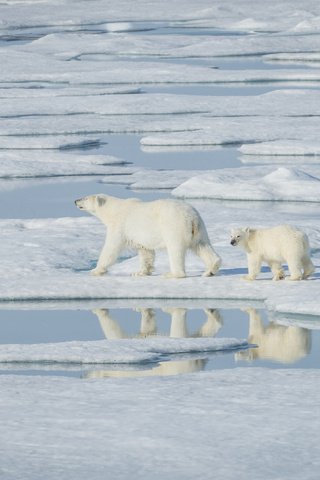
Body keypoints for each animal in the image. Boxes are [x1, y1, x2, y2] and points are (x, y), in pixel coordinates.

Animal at [75, 194, 221, 278]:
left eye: (85, 198)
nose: (75, 201)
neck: (113, 210)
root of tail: (192, 218)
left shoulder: (120, 226)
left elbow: (111, 248)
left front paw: (95, 270)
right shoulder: (140, 236)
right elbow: (146, 252)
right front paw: (139, 272)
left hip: (174, 226)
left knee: (175, 250)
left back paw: (172, 274)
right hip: (200, 229)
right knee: (202, 246)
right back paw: (210, 270)